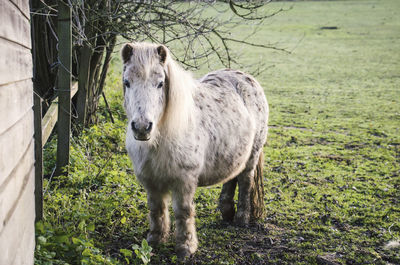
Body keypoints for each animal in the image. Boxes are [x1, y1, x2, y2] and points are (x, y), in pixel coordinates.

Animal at [119, 42, 268, 256]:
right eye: (127, 82)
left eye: (160, 83)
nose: (141, 127)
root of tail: (247, 79)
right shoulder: (151, 181)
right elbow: (156, 209)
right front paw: (155, 239)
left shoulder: (185, 181)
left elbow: (183, 211)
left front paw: (185, 247)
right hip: (233, 152)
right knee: (232, 177)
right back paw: (226, 212)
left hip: (252, 156)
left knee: (245, 182)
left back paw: (241, 219)